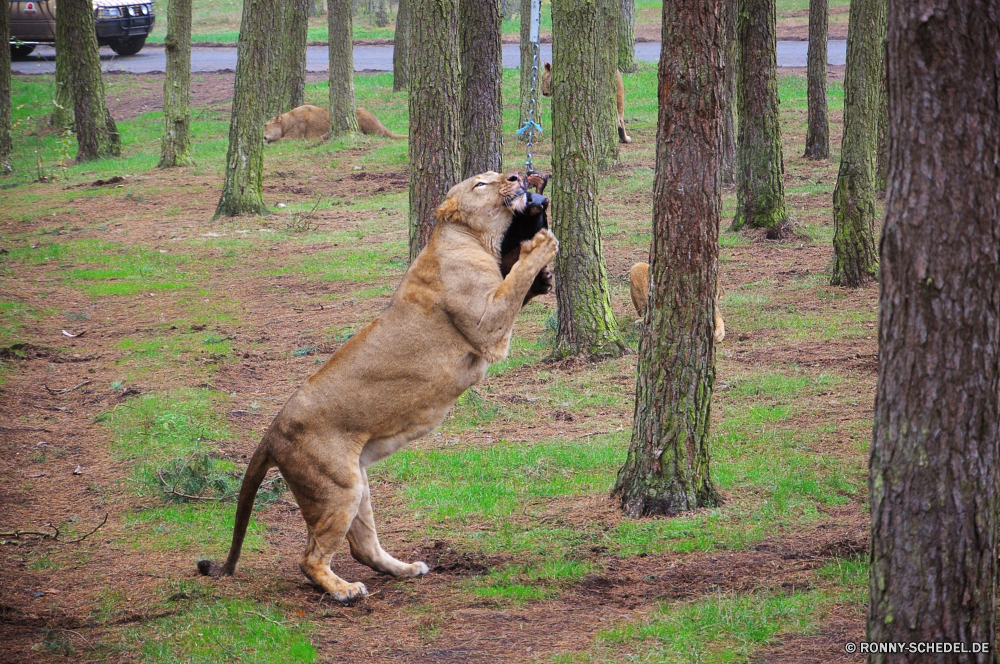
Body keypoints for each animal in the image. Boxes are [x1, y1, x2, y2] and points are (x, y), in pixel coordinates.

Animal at [195, 170, 556, 600]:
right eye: (481, 183)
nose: (517, 175)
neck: (472, 238)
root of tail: (271, 432)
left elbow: (518, 284)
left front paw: (543, 276)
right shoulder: (487, 329)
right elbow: (515, 282)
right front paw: (541, 245)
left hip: (357, 485)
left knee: (362, 546)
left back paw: (406, 569)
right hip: (338, 487)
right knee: (310, 558)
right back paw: (344, 591)